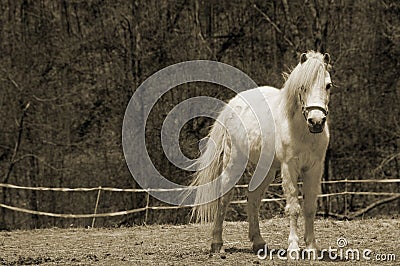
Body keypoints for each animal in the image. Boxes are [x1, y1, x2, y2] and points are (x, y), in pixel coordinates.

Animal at [191, 51, 332, 255]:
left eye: (328, 85)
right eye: (302, 86)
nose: (316, 121)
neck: (302, 130)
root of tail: (234, 103)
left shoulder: (314, 168)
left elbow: (310, 207)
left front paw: (312, 247)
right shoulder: (289, 167)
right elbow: (294, 207)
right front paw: (293, 247)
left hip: (266, 170)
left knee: (253, 198)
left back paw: (258, 241)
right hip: (233, 163)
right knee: (224, 198)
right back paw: (217, 243)